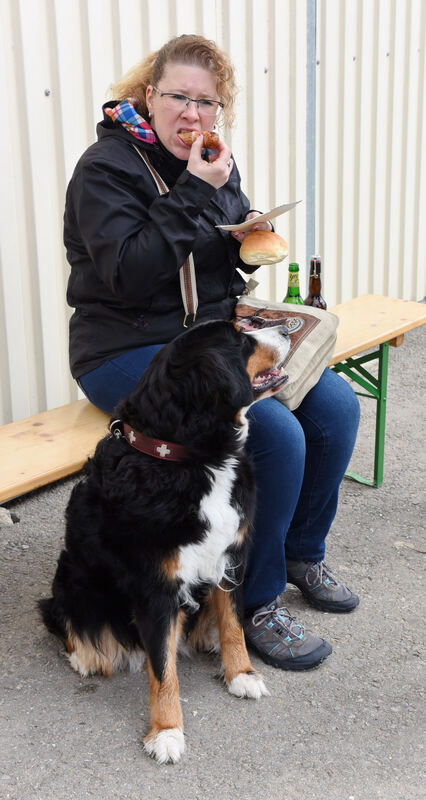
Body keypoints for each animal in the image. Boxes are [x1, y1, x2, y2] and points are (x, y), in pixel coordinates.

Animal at [39, 318, 290, 764]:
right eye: (241, 339)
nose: (288, 328)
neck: (192, 459)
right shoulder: (156, 587)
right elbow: (162, 668)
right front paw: (167, 732)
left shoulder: (231, 557)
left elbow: (233, 625)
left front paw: (241, 673)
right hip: (72, 580)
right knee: (64, 619)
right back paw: (85, 656)